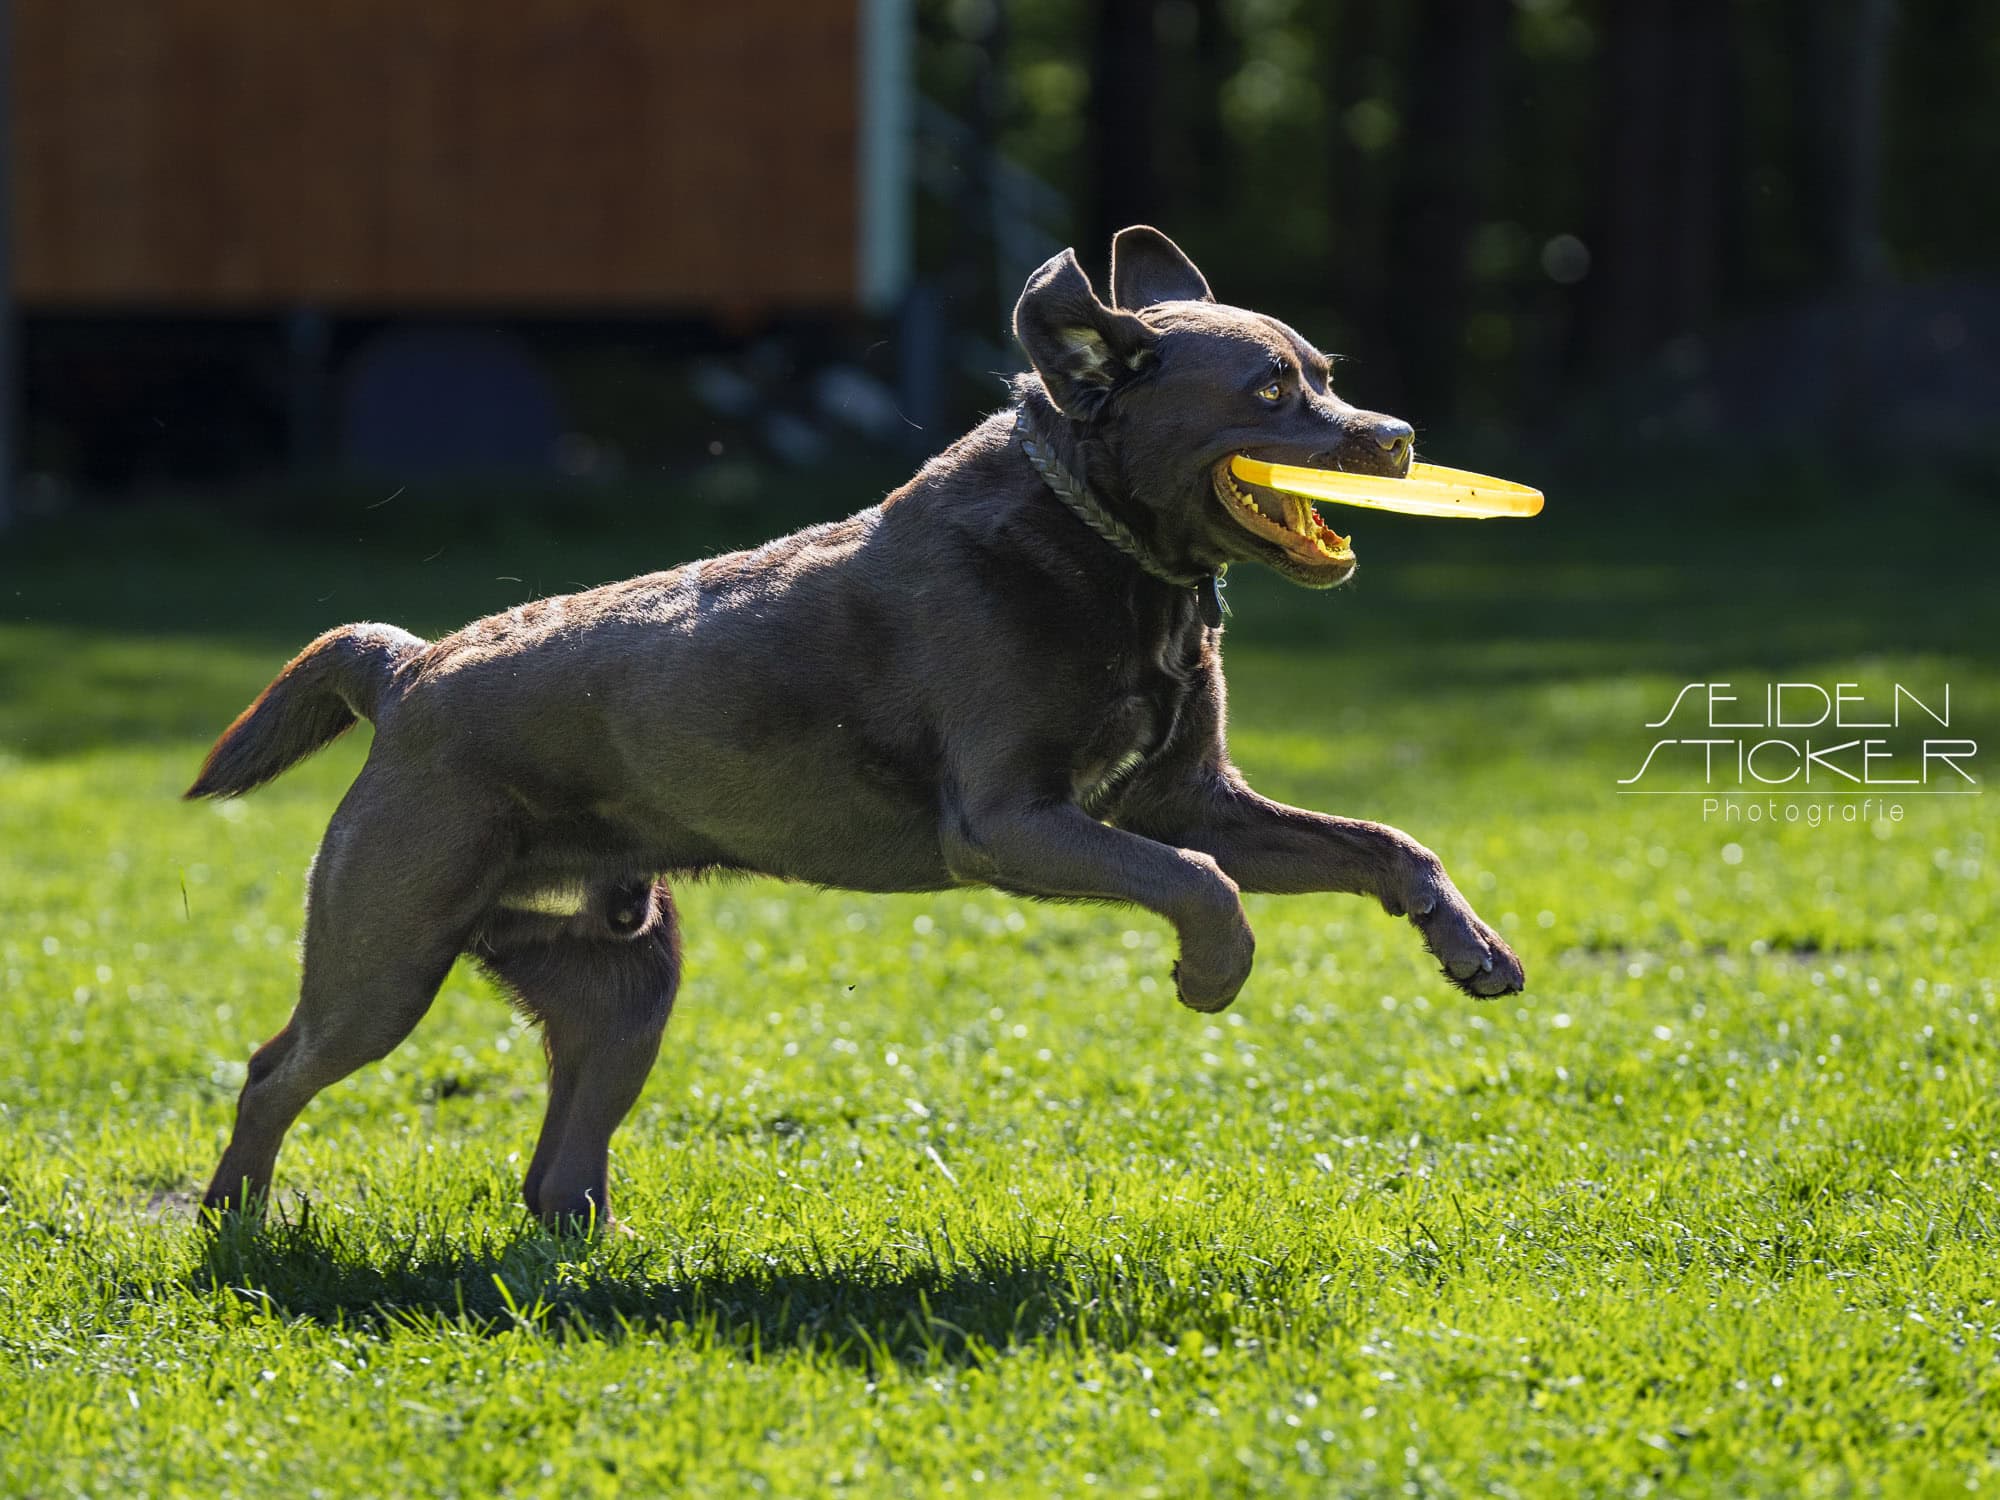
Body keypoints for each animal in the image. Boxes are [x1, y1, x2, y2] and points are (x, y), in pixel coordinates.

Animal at [186, 227, 1525, 1229]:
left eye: (1327, 370)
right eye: (1269, 390)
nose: (1395, 438)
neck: (1112, 561)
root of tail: (408, 670)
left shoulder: (1189, 796)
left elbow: (1379, 843)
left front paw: (1469, 947)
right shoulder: (1015, 819)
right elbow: (1199, 883)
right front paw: (1212, 974)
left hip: (620, 979)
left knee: (555, 1164)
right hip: (388, 953)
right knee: (273, 1068)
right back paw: (235, 1225)